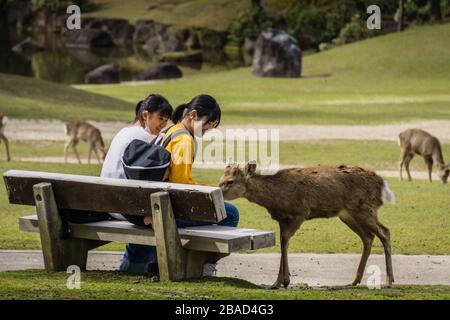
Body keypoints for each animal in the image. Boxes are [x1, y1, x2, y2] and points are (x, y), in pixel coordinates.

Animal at [220, 161, 396, 288]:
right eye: (221, 179)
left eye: (230, 181)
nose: (218, 191)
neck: (275, 198)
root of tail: (381, 184)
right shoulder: (282, 220)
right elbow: (283, 243)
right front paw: (278, 282)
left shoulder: (300, 213)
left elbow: (284, 241)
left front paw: (284, 281)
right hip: (348, 214)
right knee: (368, 236)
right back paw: (355, 280)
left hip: (364, 208)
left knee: (385, 231)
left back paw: (389, 281)